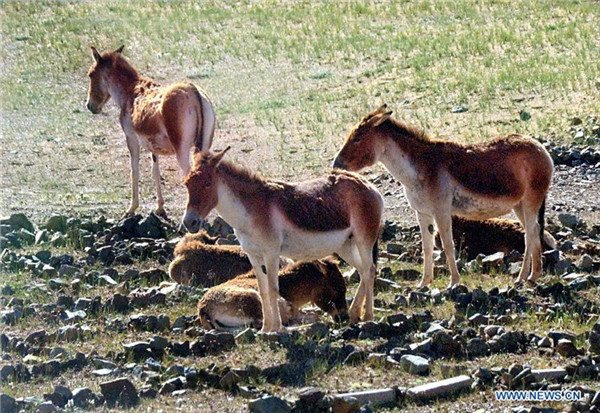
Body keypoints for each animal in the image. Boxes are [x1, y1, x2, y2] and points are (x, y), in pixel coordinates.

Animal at [84, 45, 216, 216]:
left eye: (90, 74)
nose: (90, 106)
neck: (130, 90)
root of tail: (194, 91)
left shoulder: (131, 138)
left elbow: (134, 171)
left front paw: (131, 209)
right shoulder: (153, 147)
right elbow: (155, 171)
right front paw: (160, 207)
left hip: (182, 151)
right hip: (204, 146)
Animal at [180, 148, 384, 332]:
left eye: (207, 183)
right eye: (186, 184)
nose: (189, 222)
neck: (251, 211)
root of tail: (369, 186)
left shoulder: (271, 253)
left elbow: (273, 289)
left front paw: (277, 328)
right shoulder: (253, 255)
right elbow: (262, 291)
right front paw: (265, 329)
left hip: (363, 240)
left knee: (369, 271)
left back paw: (368, 317)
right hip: (345, 246)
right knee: (362, 271)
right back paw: (355, 314)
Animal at [332, 104, 552, 286]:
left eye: (357, 138)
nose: (336, 164)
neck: (420, 168)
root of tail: (540, 148)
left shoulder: (442, 211)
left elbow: (447, 245)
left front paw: (453, 282)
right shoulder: (422, 213)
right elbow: (427, 248)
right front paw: (424, 283)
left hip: (531, 201)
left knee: (531, 234)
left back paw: (526, 276)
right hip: (519, 205)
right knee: (533, 232)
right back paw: (531, 276)